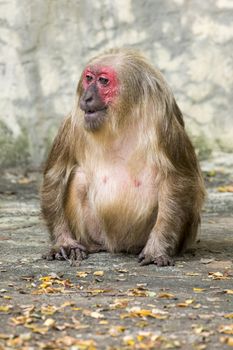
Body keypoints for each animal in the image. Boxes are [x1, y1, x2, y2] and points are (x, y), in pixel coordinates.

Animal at [41, 47, 205, 266]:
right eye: (89, 78)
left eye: (103, 81)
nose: (87, 97)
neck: (120, 118)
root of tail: (116, 246)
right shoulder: (72, 123)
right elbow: (55, 176)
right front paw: (64, 242)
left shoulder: (163, 124)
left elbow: (178, 179)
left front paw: (157, 247)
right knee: (80, 178)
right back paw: (92, 245)